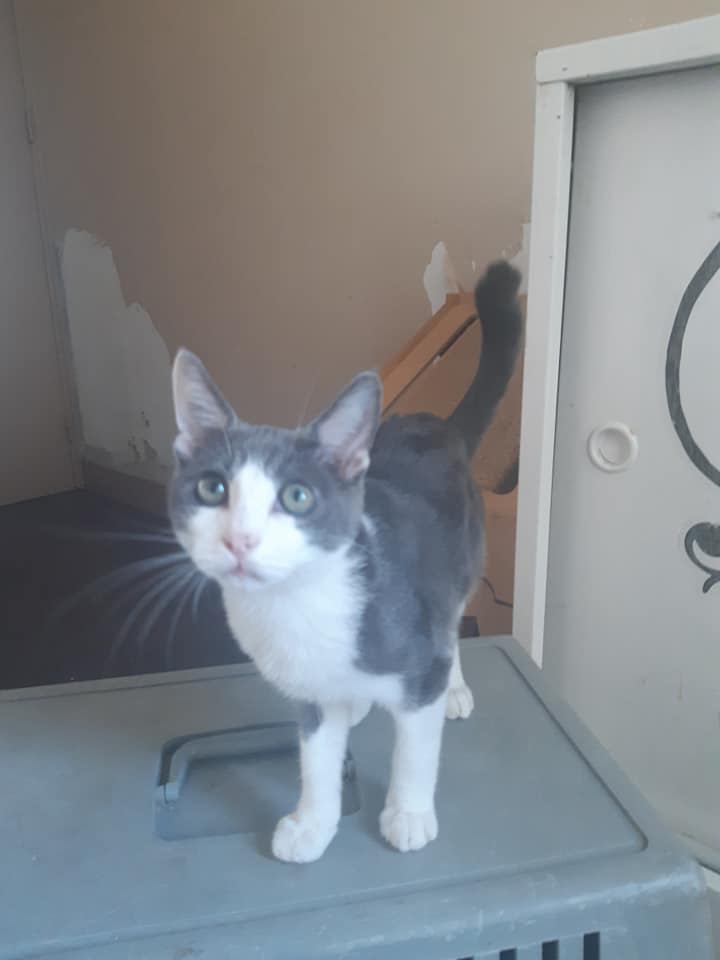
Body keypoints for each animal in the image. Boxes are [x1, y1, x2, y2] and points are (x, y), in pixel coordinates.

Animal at [168, 260, 522, 862]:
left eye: (297, 498)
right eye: (212, 489)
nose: (240, 540)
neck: (295, 606)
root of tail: (438, 425)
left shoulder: (416, 661)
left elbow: (415, 749)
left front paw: (407, 814)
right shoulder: (306, 694)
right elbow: (315, 758)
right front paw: (312, 823)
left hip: (457, 565)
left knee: (451, 623)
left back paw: (453, 686)